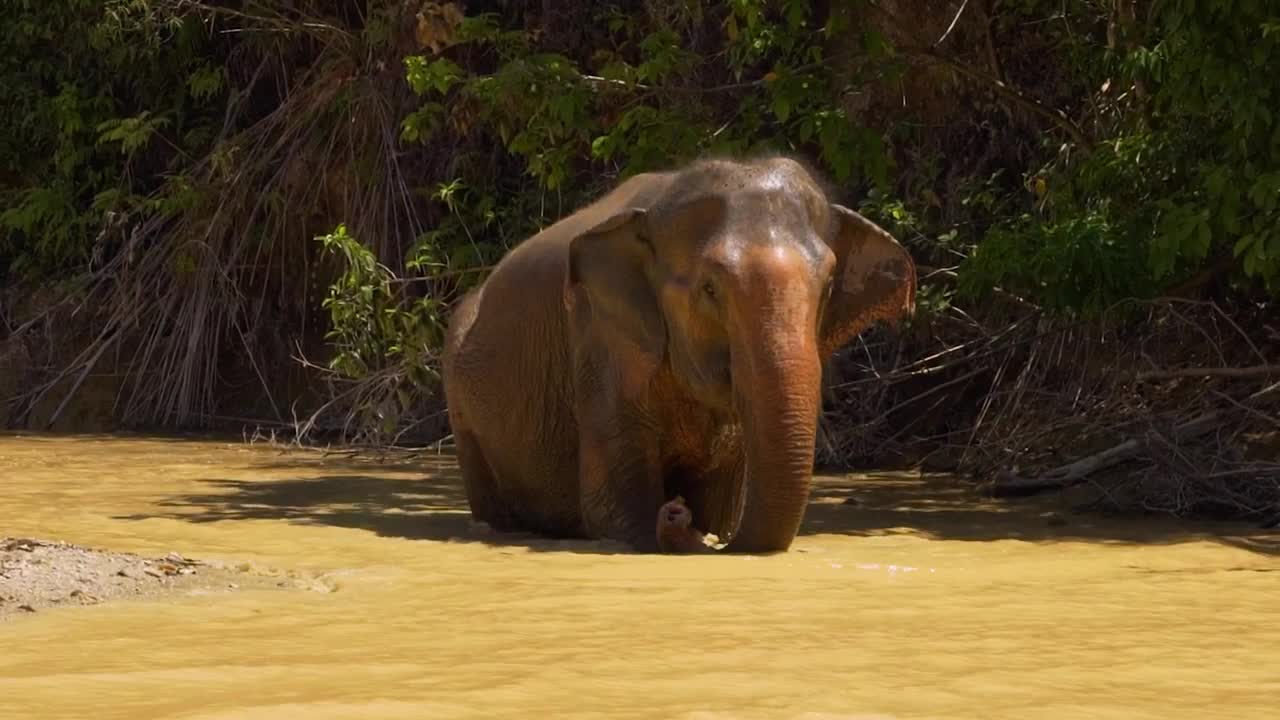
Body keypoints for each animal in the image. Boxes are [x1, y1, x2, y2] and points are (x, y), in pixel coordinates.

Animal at [441, 155, 916, 553]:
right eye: (710, 288)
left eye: (829, 285)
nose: (676, 510)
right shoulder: (600, 340)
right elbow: (614, 511)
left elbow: (719, 505)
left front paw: (705, 525)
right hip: (462, 409)